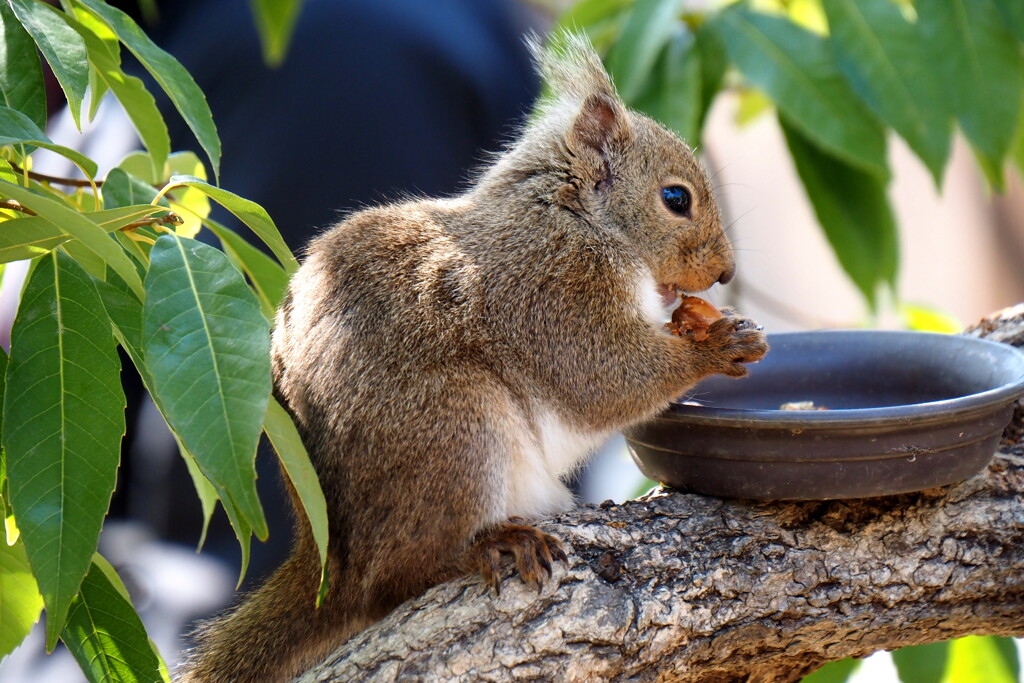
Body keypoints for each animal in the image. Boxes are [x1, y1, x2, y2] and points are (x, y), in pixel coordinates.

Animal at [178, 34, 770, 679]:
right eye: (675, 198)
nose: (725, 273)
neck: (573, 218)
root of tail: (335, 567)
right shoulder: (548, 291)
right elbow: (603, 378)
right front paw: (716, 344)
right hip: (454, 428)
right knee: (394, 581)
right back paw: (487, 545)